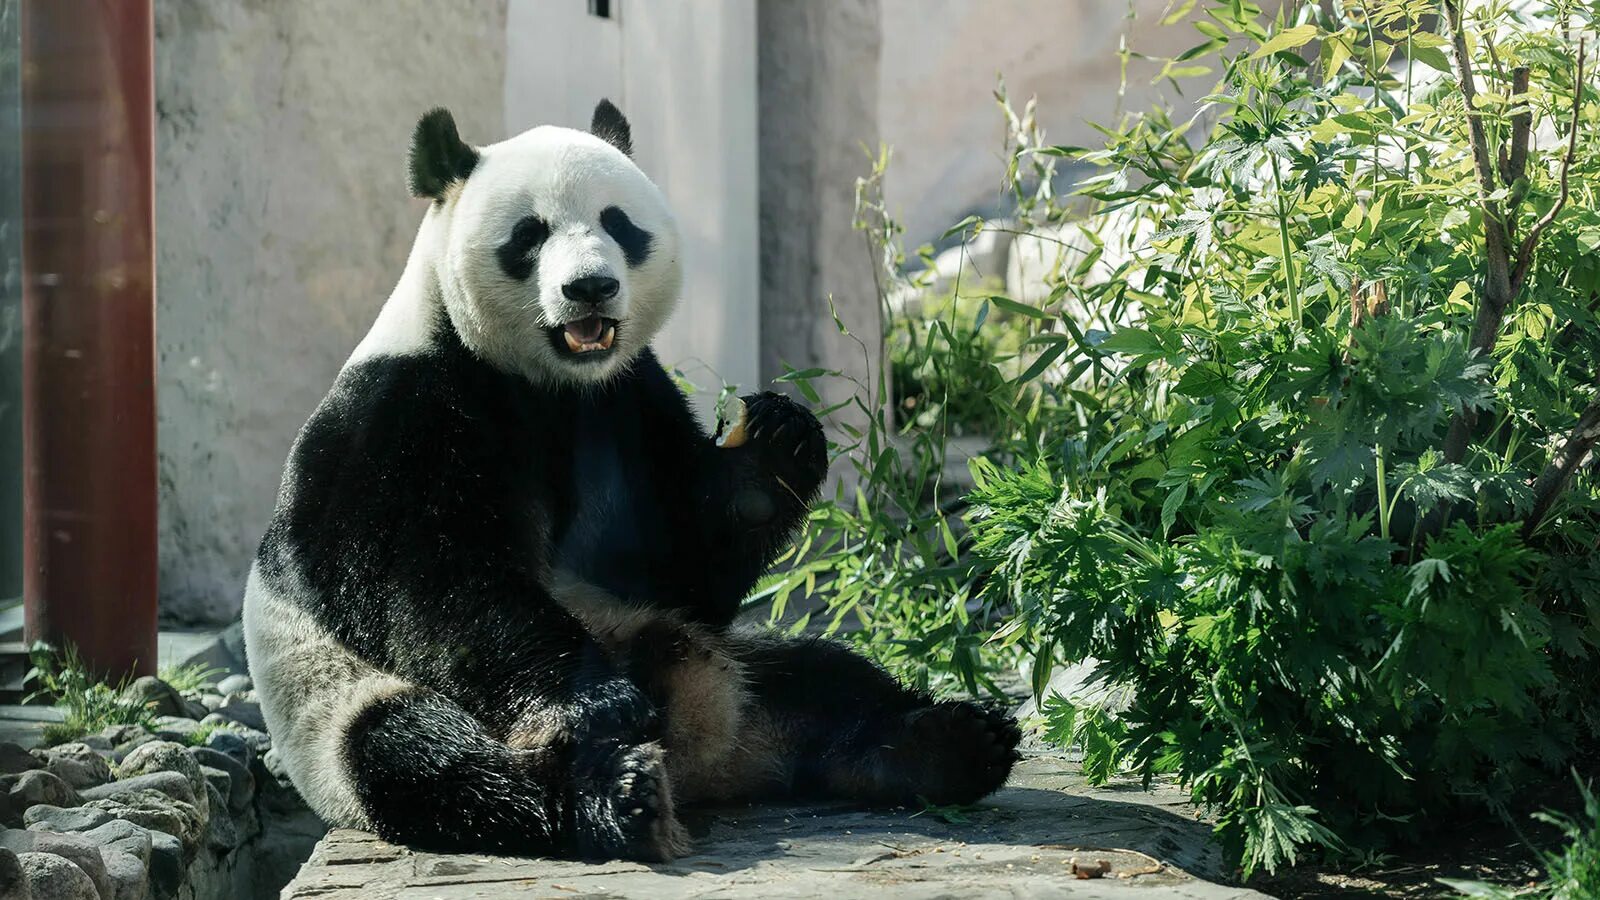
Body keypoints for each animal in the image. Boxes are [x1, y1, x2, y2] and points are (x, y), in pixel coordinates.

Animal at [243, 101, 1017, 858]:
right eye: (529, 234)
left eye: (619, 223)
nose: (590, 287)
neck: (546, 380)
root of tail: (705, 751)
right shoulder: (399, 411)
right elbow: (421, 579)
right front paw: (599, 703)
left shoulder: (628, 400)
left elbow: (683, 568)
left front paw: (774, 447)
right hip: (341, 710)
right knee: (430, 760)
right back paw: (613, 798)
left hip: (730, 652)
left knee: (824, 677)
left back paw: (949, 743)